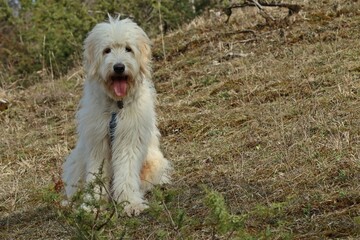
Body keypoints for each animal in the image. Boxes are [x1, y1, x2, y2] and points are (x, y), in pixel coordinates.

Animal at [62, 16, 172, 216]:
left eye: (128, 49)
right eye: (107, 50)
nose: (119, 67)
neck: (116, 106)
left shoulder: (129, 138)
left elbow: (126, 171)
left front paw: (130, 203)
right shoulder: (97, 141)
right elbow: (95, 176)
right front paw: (91, 206)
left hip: (154, 162)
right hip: (76, 161)